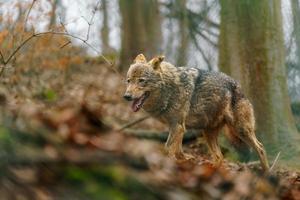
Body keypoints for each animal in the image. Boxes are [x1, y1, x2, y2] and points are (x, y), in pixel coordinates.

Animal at [123, 54, 270, 171]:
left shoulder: (178, 126)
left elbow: (167, 149)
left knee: (261, 148)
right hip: (208, 132)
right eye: (128, 81)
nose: (126, 96)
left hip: (240, 129)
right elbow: (178, 151)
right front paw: (186, 160)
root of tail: (239, 87)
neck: (169, 89)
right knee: (219, 157)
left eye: (141, 81)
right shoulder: (178, 127)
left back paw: (267, 174)